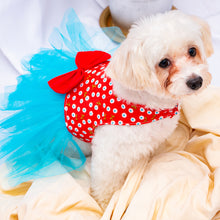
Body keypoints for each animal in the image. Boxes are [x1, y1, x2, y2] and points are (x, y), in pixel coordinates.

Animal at [62, 9, 213, 208]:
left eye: (192, 51)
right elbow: (105, 183)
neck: (148, 104)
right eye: (164, 62)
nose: (196, 81)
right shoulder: (109, 155)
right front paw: (105, 204)